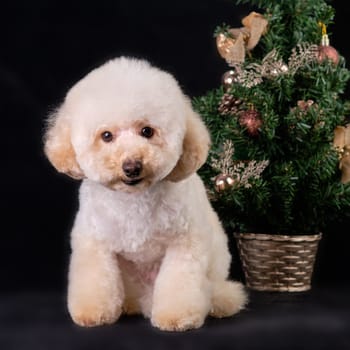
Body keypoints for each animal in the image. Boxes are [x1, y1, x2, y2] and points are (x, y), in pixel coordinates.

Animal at [43, 57, 246, 330]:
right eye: (106, 136)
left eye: (147, 131)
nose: (132, 166)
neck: (133, 200)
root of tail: (144, 301)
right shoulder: (94, 242)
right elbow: (96, 278)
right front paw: (93, 312)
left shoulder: (185, 243)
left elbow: (180, 283)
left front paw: (176, 317)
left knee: (221, 294)